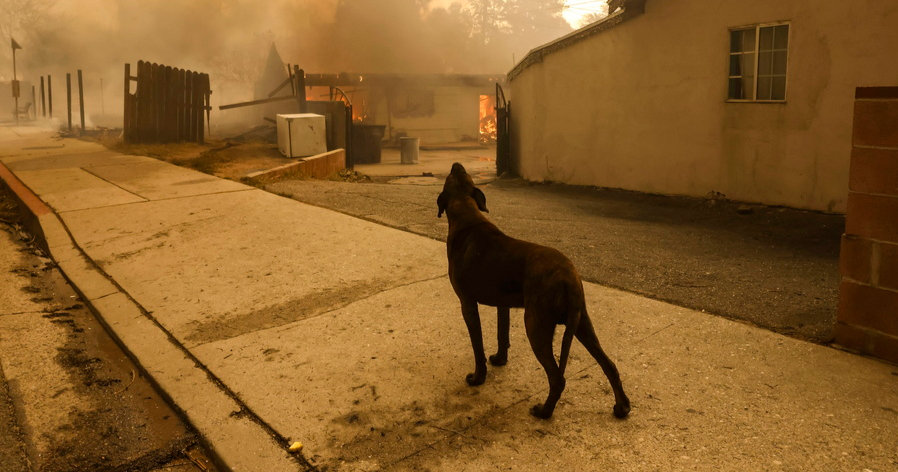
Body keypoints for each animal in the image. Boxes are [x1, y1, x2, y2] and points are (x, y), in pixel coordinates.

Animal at [438, 164, 628, 418]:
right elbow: (502, 334)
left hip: (536, 325)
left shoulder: (467, 304)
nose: (456, 164)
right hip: (581, 323)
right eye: (461, 175)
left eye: (450, 176)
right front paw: (500, 359)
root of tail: (569, 276)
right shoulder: (503, 304)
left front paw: (478, 378)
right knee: (610, 365)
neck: (467, 213)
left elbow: (477, 346)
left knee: (558, 378)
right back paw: (622, 406)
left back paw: (544, 411)